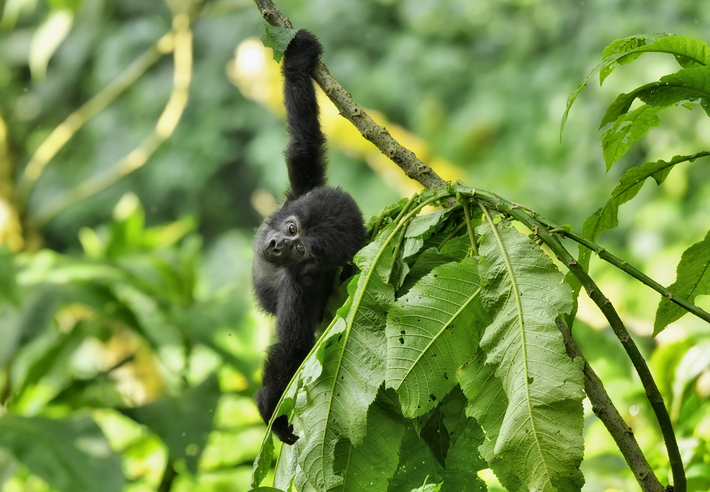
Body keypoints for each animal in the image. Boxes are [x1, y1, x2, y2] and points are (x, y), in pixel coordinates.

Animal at [252, 30, 366, 445]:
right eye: (291, 228)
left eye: (300, 248)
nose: (275, 246)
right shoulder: (303, 191)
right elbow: (304, 142)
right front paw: (299, 60)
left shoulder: (302, 286)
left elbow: (293, 345)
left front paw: (272, 407)